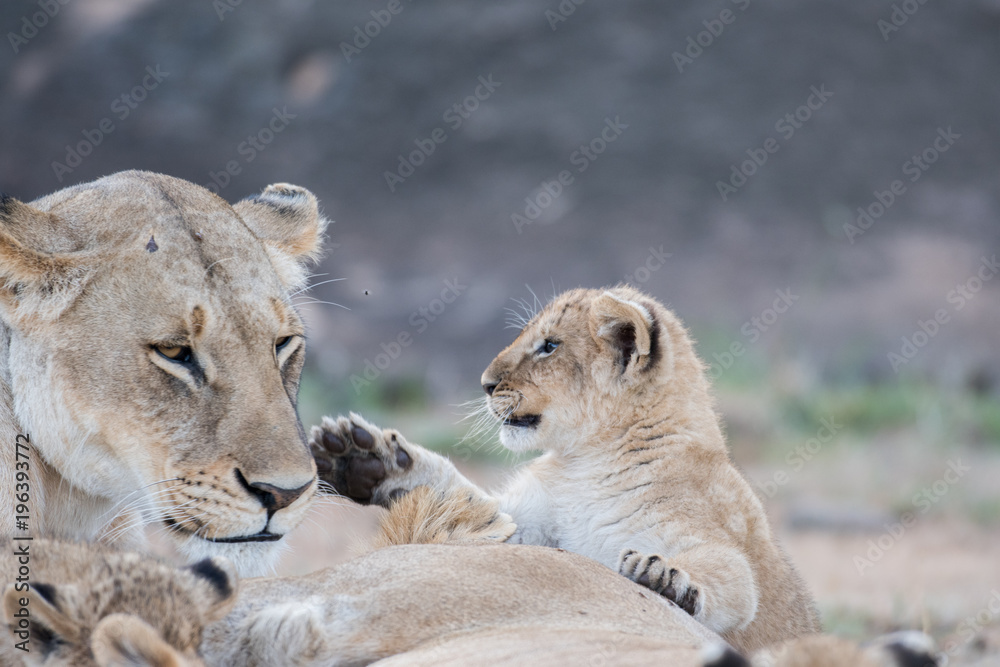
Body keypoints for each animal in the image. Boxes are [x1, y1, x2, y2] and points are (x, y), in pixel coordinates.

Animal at [309, 285, 819, 655]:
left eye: (549, 346)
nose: (484, 383)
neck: (586, 463)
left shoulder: (714, 538)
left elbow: (732, 577)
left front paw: (665, 580)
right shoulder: (530, 529)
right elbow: (463, 499)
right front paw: (362, 460)